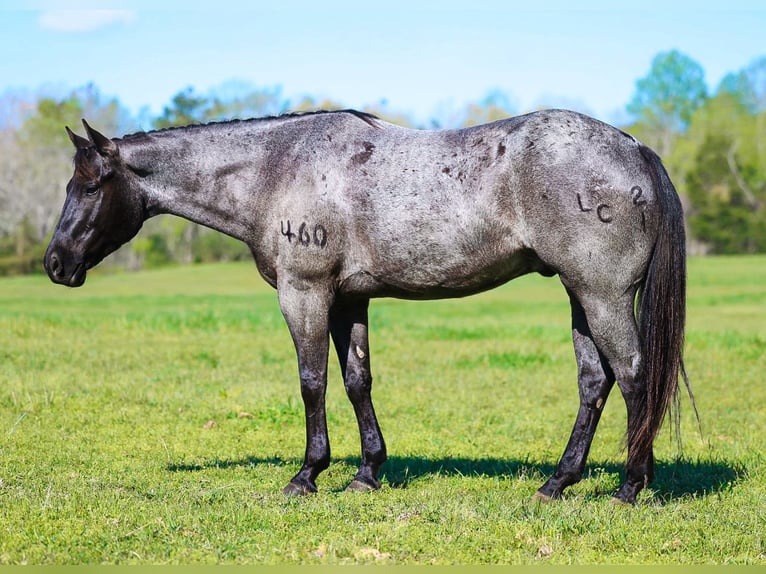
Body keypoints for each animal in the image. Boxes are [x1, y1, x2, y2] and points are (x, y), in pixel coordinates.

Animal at [44, 108, 687, 504]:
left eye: (90, 186)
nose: (55, 264)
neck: (278, 167)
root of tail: (635, 147)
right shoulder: (350, 300)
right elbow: (357, 382)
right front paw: (367, 473)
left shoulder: (304, 294)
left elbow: (312, 382)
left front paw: (306, 475)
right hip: (580, 296)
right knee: (594, 381)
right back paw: (558, 483)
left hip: (601, 296)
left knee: (633, 377)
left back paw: (629, 486)